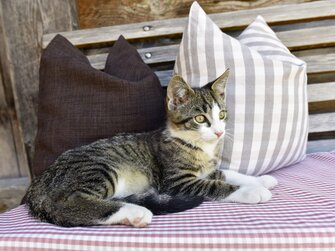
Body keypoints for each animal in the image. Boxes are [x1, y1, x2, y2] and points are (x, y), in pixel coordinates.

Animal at [26, 68, 278, 227]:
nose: (219, 132)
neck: (198, 146)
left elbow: (227, 173)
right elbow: (215, 185)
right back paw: (134, 212)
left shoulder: (209, 169)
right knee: (70, 204)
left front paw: (260, 180)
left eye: (222, 115)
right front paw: (251, 191)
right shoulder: (176, 181)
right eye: (200, 118)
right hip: (95, 167)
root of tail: (37, 184)